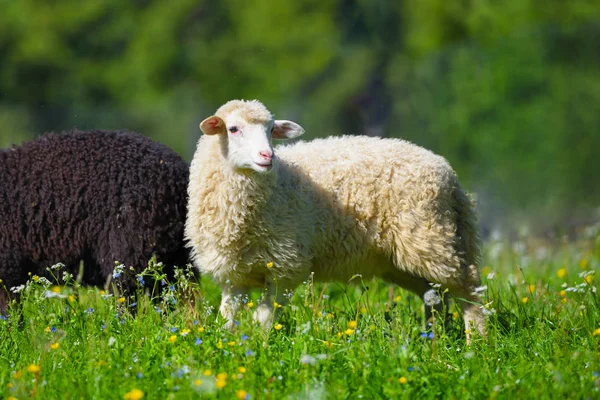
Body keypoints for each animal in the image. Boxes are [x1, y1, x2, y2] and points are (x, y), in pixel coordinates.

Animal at [185, 98, 486, 342]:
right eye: (233, 129)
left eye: (271, 130)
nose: (267, 156)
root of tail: (449, 175)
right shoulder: (233, 274)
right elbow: (228, 317)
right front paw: (229, 348)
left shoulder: (286, 266)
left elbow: (265, 318)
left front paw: (261, 347)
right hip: (404, 259)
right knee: (435, 296)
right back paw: (433, 340)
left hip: (434, 238)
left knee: (469, 291)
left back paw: (476, 343)